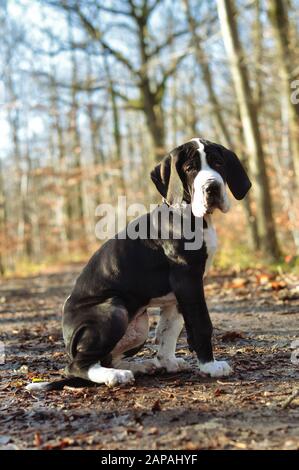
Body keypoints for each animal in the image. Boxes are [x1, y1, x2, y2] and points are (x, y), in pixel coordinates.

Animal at [27, 138, 253, 392]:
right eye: (190, 169)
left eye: (218, 163)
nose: (212, 187)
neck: (190, 216)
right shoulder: (188, 280)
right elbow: (201, 323)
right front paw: (210, 366)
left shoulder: (179, 293)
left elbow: (168, 330)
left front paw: (168, 362)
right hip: (113, 310)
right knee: (78, 365)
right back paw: (115, 376)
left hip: (138, 325)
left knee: (108, 357)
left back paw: (140, 366)